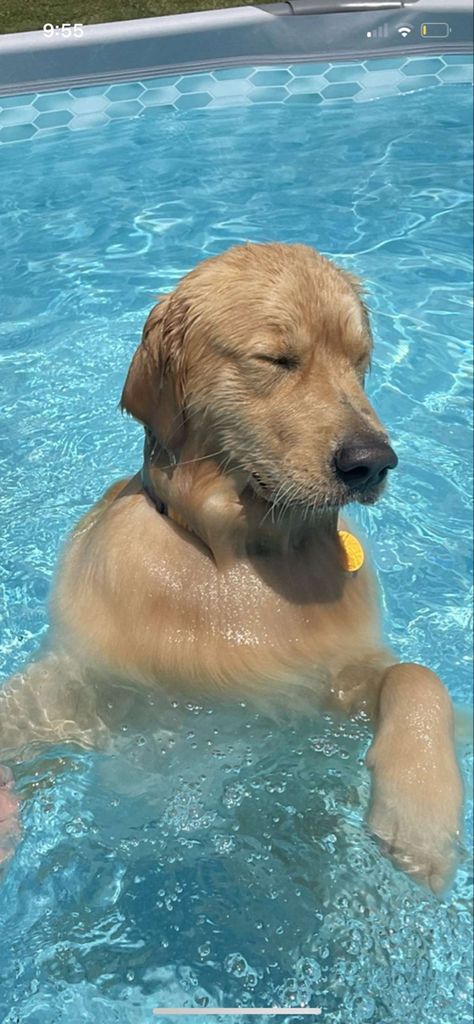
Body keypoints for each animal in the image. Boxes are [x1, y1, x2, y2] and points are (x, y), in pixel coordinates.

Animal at [0, 243, 464, 892]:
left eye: (359, 361)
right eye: (276, 359)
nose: (372, 462)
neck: (241, 553)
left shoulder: (327, 689)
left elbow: (418, 677)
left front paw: (420, 815)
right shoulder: (76, 683)